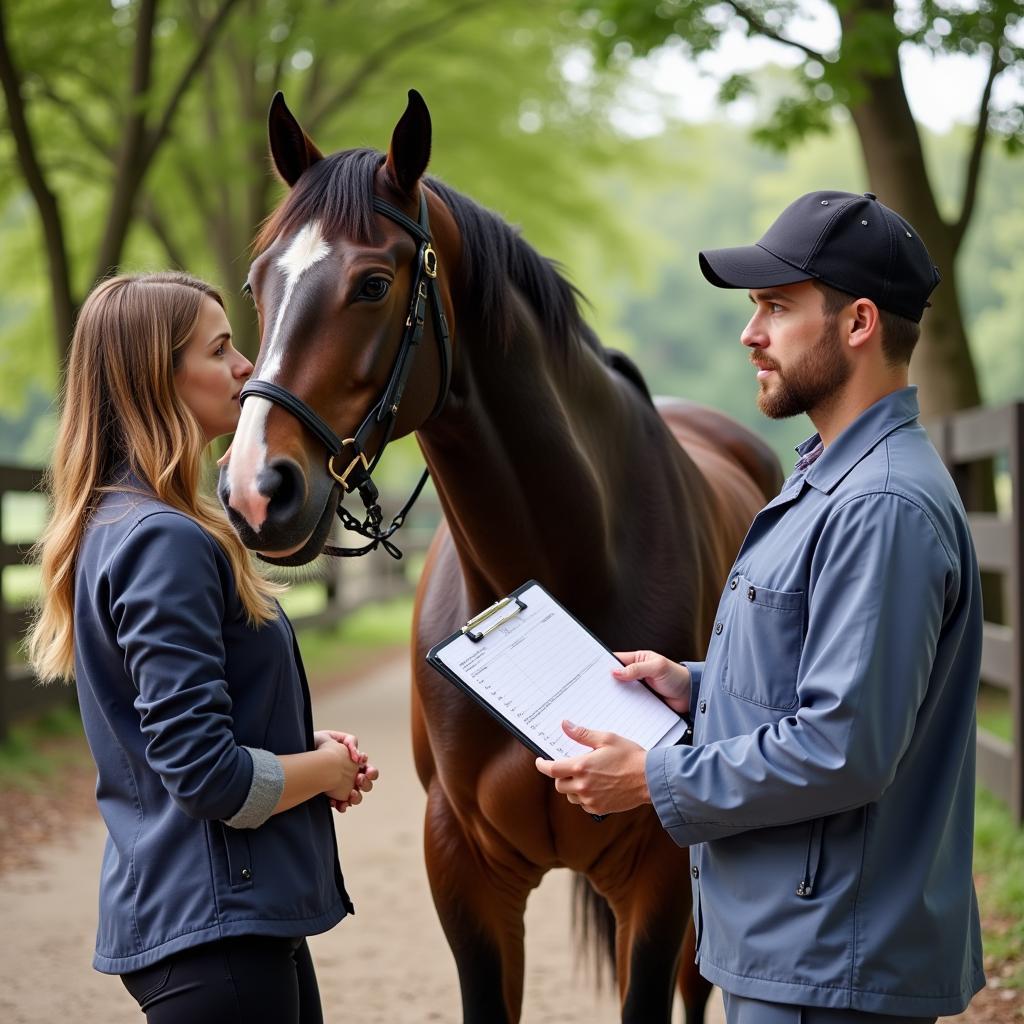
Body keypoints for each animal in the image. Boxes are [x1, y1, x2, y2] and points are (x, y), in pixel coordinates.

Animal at [222, 90, 782, 1024]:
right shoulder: (465, 870)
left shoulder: (659, 876)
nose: (254, 491)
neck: (562, 566)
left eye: (373, 284)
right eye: (258, 283)